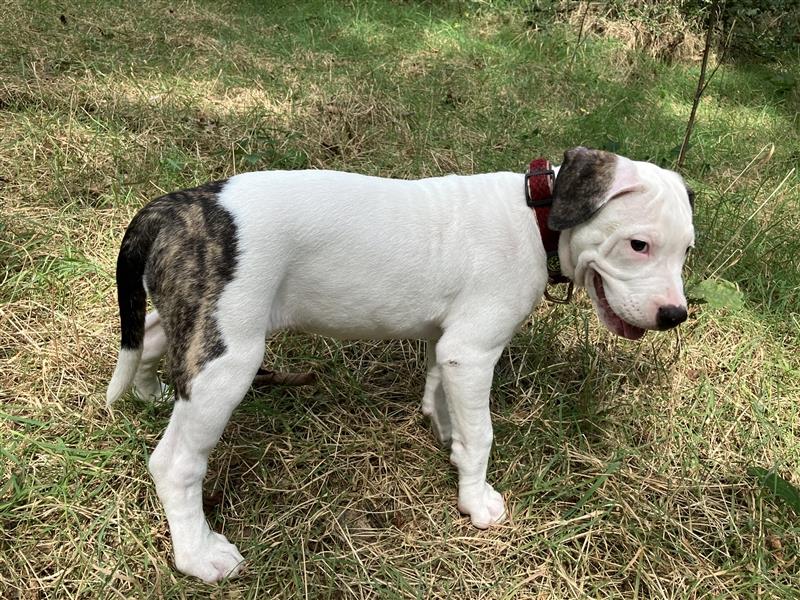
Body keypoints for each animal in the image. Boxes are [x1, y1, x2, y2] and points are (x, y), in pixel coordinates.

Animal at [104, 146, 692, 580]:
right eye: (638, 245)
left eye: (686, 251)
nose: (675, 315)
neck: (537, 212)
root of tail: (172, 207)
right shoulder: (472, 352)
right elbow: (483, 434)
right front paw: (477, 501)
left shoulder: (446, 345)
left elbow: (443, 398)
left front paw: (448, 441)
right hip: (229, 360)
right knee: (176, 463)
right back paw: (198, 555)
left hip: (197, 321)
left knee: (152, 335)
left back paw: (150, 391)